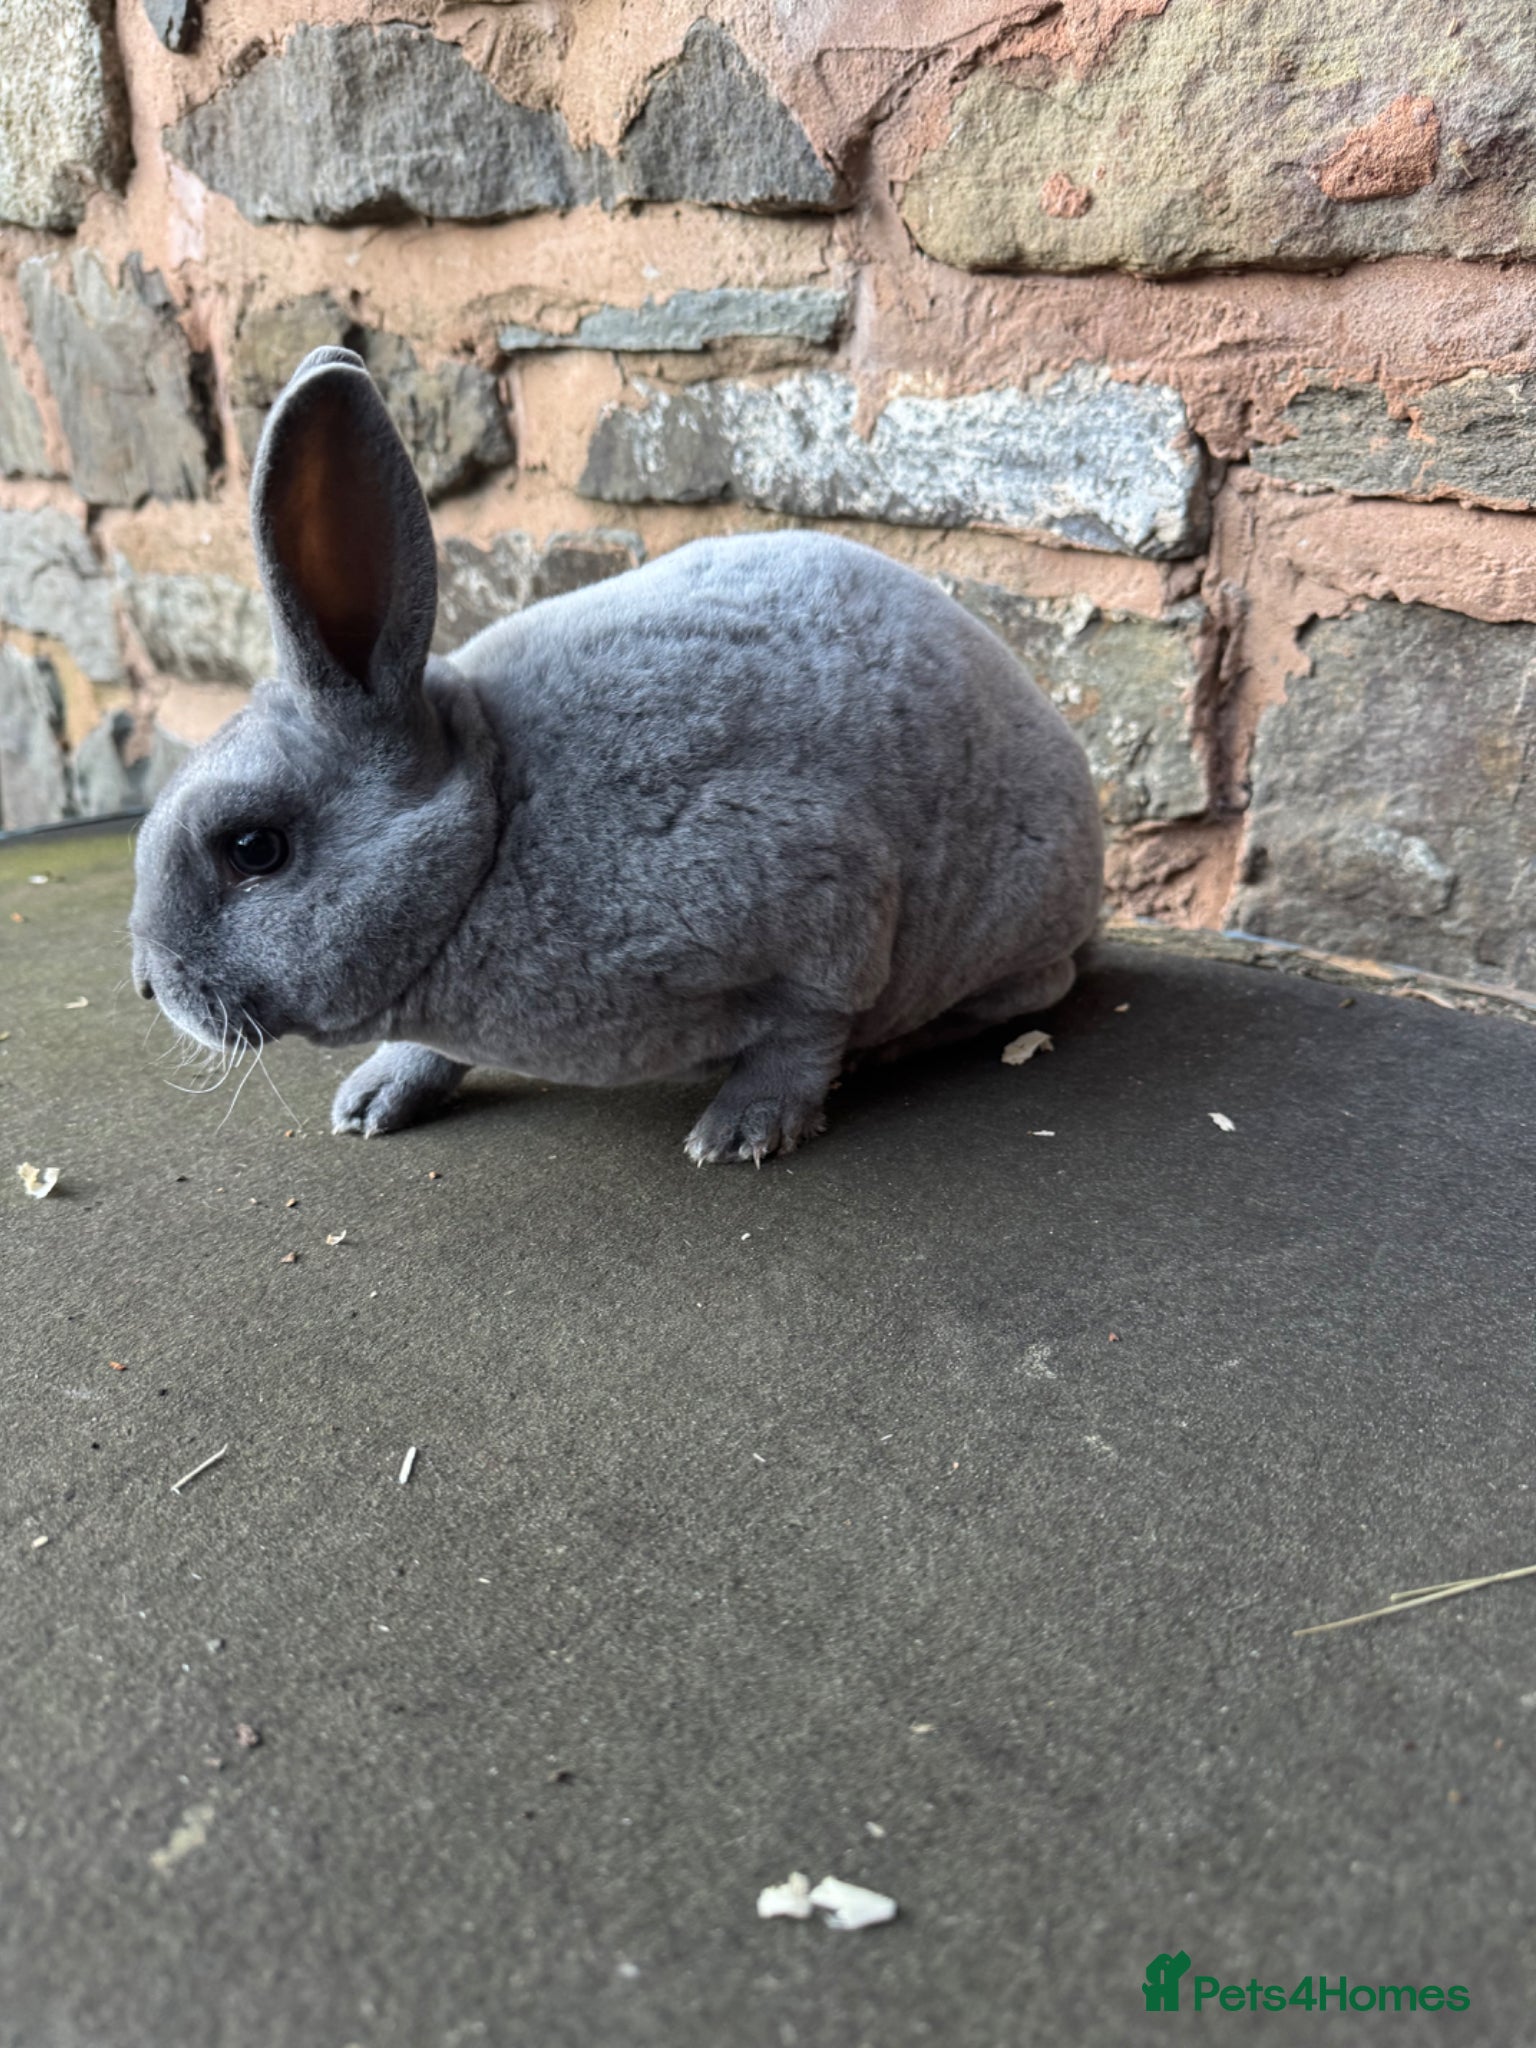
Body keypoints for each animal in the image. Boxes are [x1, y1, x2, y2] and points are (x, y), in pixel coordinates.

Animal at [130, 345, 1104, 1164]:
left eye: (254, 849)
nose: (147, 986)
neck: (492, 825)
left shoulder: (822, 891)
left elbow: (808, 1027)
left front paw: (745, 1130)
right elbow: (425, 1052)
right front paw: (373, 1099)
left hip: (1006, 922)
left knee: (1034, 989)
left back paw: (902, 1044)